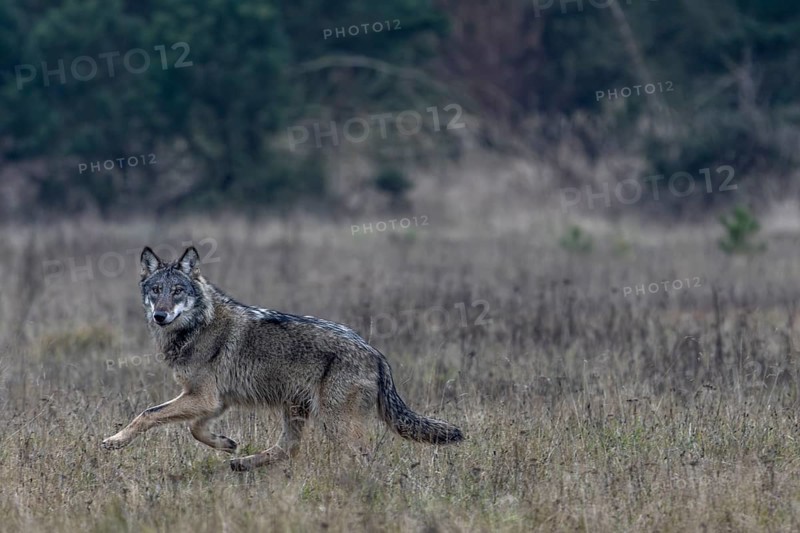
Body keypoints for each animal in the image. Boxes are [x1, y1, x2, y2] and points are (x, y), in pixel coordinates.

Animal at [101, 246, 463, 471]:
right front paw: (226, 444)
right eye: (155, 291)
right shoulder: (213, 401)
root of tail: (376, 353)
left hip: (334, 422)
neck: (197, 326)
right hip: (296, 408)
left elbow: (147, 414)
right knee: (289, 447)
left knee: (359, 455)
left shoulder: (203, 397)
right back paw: (242, 464)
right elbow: (194, 429)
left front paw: (114, 441)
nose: (160, 315)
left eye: (177, 291)